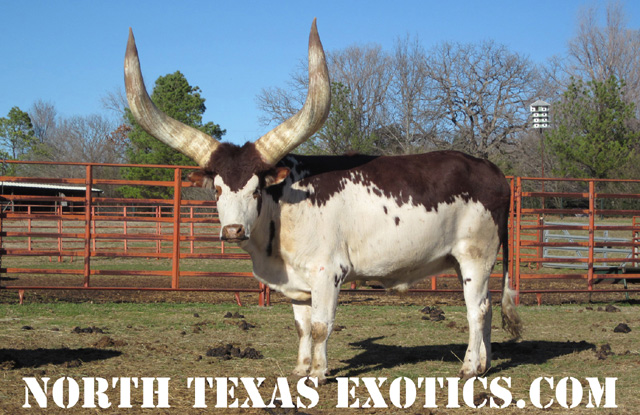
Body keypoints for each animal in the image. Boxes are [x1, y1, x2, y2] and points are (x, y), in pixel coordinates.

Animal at [124, 19, 520, 384]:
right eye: (217, 189)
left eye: (256, 189)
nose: (233, 230)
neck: (283, 208)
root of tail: (491, 170)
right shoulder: (297, 284)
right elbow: (301, 327)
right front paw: (301, 369)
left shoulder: (327, 273)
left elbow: (320, 326)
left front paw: (317, 373)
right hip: (460, 260)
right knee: (485, 309)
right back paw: (485, 364)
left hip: (476, 256)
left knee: (477, 310)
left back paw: (469, 367)